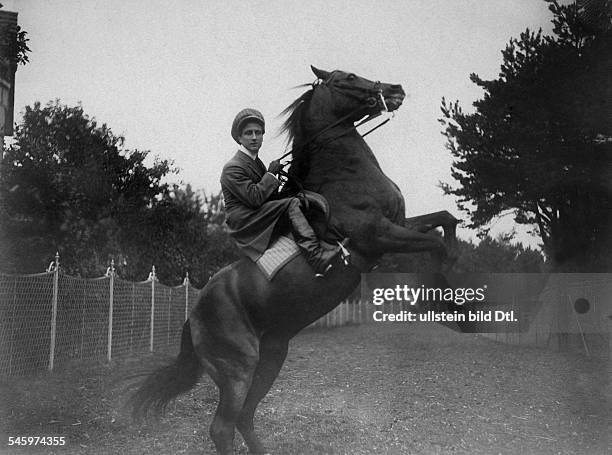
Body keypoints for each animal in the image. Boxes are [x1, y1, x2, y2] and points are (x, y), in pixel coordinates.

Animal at [130, 66, 460, 454]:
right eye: (348, 77)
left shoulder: (399, 224)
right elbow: (436, 246)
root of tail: (193, 315)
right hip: (238, 369)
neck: (344, 175)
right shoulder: (379, 235)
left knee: (245, 417)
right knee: (223, 427)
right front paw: (452, 299)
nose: (395, 89)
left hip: (272, 356)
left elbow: (446, 220)